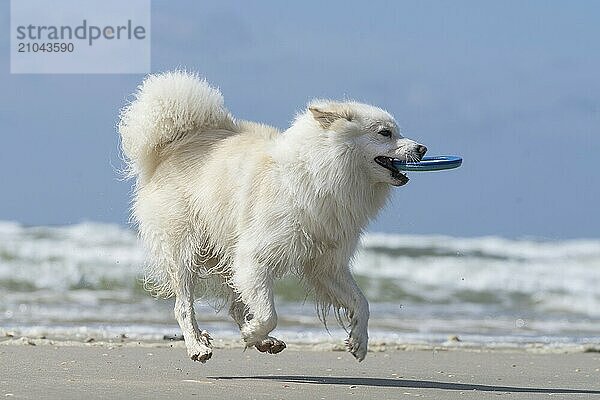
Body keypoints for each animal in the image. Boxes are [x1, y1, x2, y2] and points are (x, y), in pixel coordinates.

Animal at [118, 71, 426, 362]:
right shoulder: (255, 257)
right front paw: (251, 332)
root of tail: (171, 147)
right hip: (184, 252)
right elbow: (269, 313)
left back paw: (264, 342)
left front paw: (359, 342)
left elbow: (362, 302)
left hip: (227, 253)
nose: (423, 149)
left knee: (235, 304)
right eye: (385, 133)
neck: (319, 174)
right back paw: (198, 346)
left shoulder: (327, 265)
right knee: (183, 306)